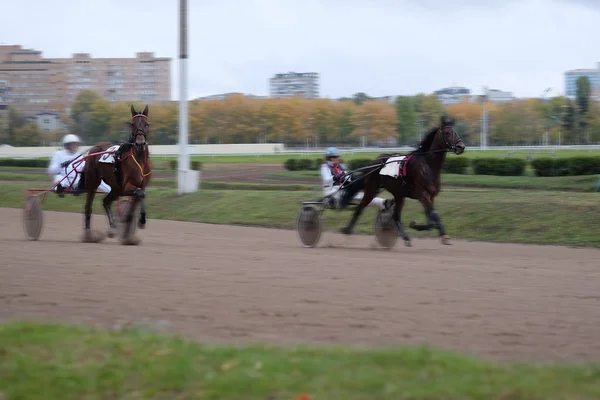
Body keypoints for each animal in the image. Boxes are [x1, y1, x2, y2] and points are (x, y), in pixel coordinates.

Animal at [81, 104, 152, 244]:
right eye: (132, 124)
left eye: (146, 124)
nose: (140, 143)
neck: (140, 159)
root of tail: (94, 147)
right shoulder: (127, 186)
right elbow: (141, 194)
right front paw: (141, 221)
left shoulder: (138, 186)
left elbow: (138, 199)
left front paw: (127, 234)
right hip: (93, 183)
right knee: (88, 206)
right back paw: (89, 236)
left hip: (116, 188)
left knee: (106, 202)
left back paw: (112, 228)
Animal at [340, 115, 466, 247]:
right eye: (447, 132)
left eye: (455, 132)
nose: (461, 147)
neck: (428, 165)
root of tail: (373, 163)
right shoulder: (423, 195)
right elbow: (435, 216)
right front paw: (444, 236)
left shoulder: (431, 196)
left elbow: (431, 220)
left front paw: (417, 225)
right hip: (371, 189)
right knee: (360, 208)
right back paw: (347, 231)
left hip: (399, 195)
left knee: (396, 216)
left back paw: (405, 237)